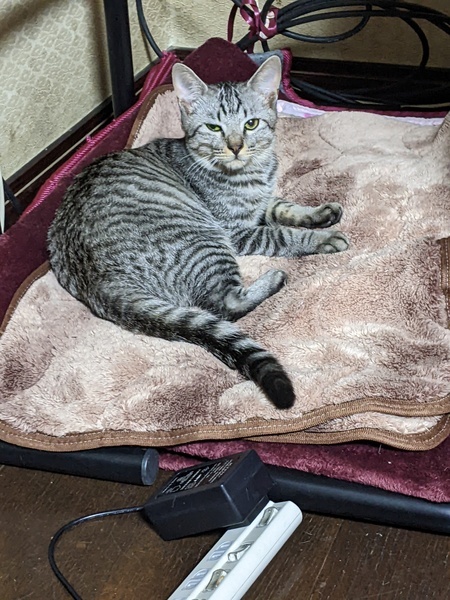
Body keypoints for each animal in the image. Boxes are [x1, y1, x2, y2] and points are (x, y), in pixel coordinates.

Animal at [47, 56, 349, 410]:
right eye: (213, 128)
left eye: (251, 124)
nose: (236, 147)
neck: (252, 173)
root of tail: (98, 282)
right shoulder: (234, 230)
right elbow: (281, 235)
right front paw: (322, 238)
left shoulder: (261, 205)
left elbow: (282, 207)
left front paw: (320, 213)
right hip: (205, 240)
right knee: (223, 304)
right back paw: (273, 279)